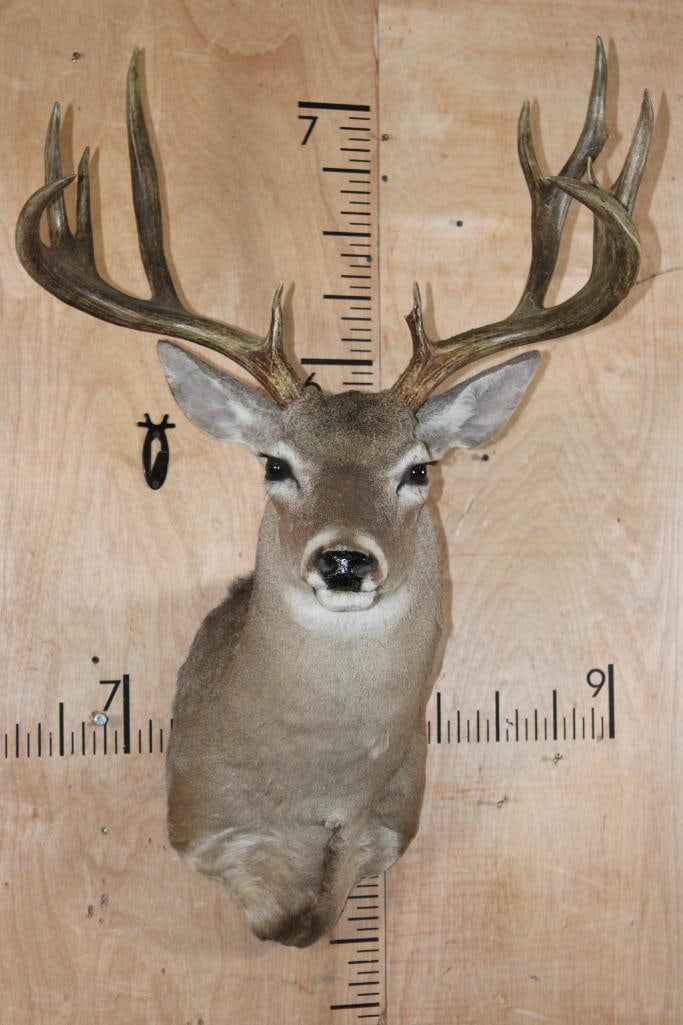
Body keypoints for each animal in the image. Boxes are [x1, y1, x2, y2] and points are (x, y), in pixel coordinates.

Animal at [16, 40, 651, 947]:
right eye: (275, 464)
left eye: (418, 468)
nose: (345, 560)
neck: (312, 791)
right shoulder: (211, 829)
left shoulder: (378, 829)